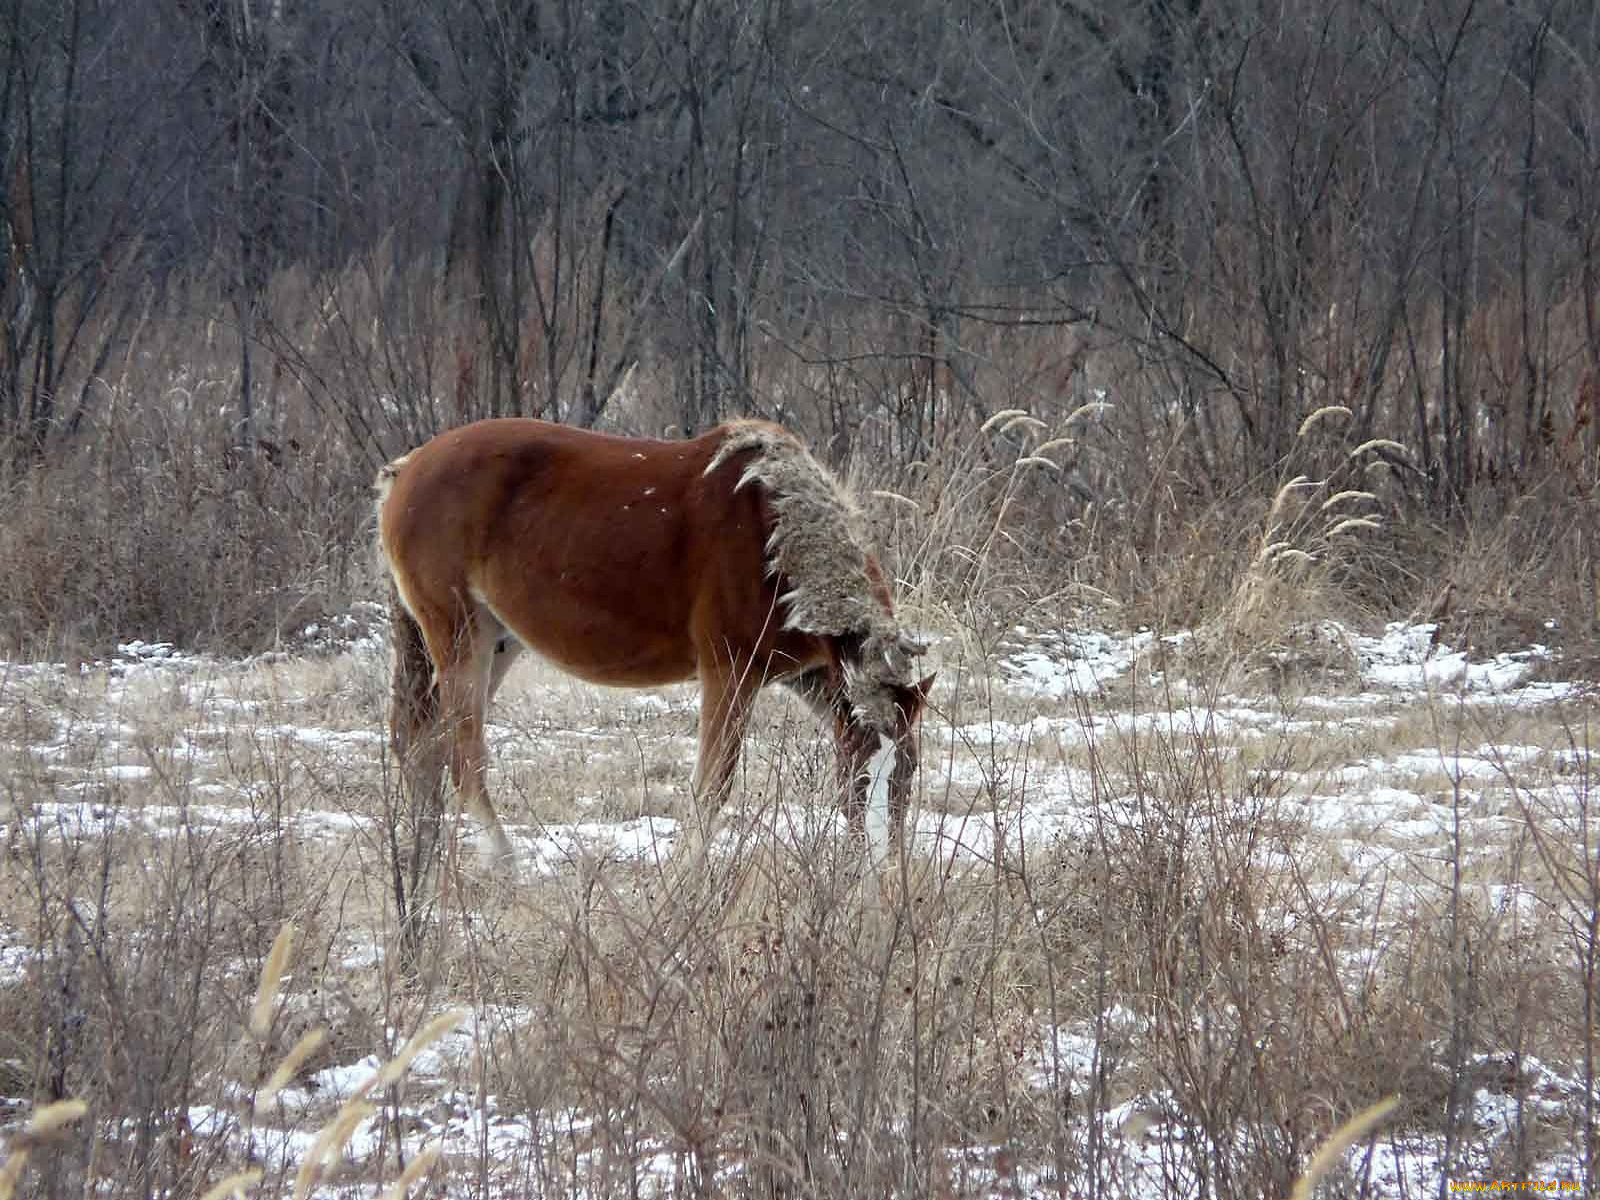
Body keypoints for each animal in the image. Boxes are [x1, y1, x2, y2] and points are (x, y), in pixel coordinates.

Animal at [377, 419, 934, 876]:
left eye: (906, 775)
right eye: (860, 773)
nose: (881, 872)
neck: (774, 538)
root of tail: (408, 468)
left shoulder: (806, 676)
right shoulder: (729, 672)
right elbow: (712, 787)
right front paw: (681, 879)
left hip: (497, 642)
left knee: (426, 744)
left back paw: (422, 856)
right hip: (459, 636)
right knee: (463, 752)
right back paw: (502, 863)